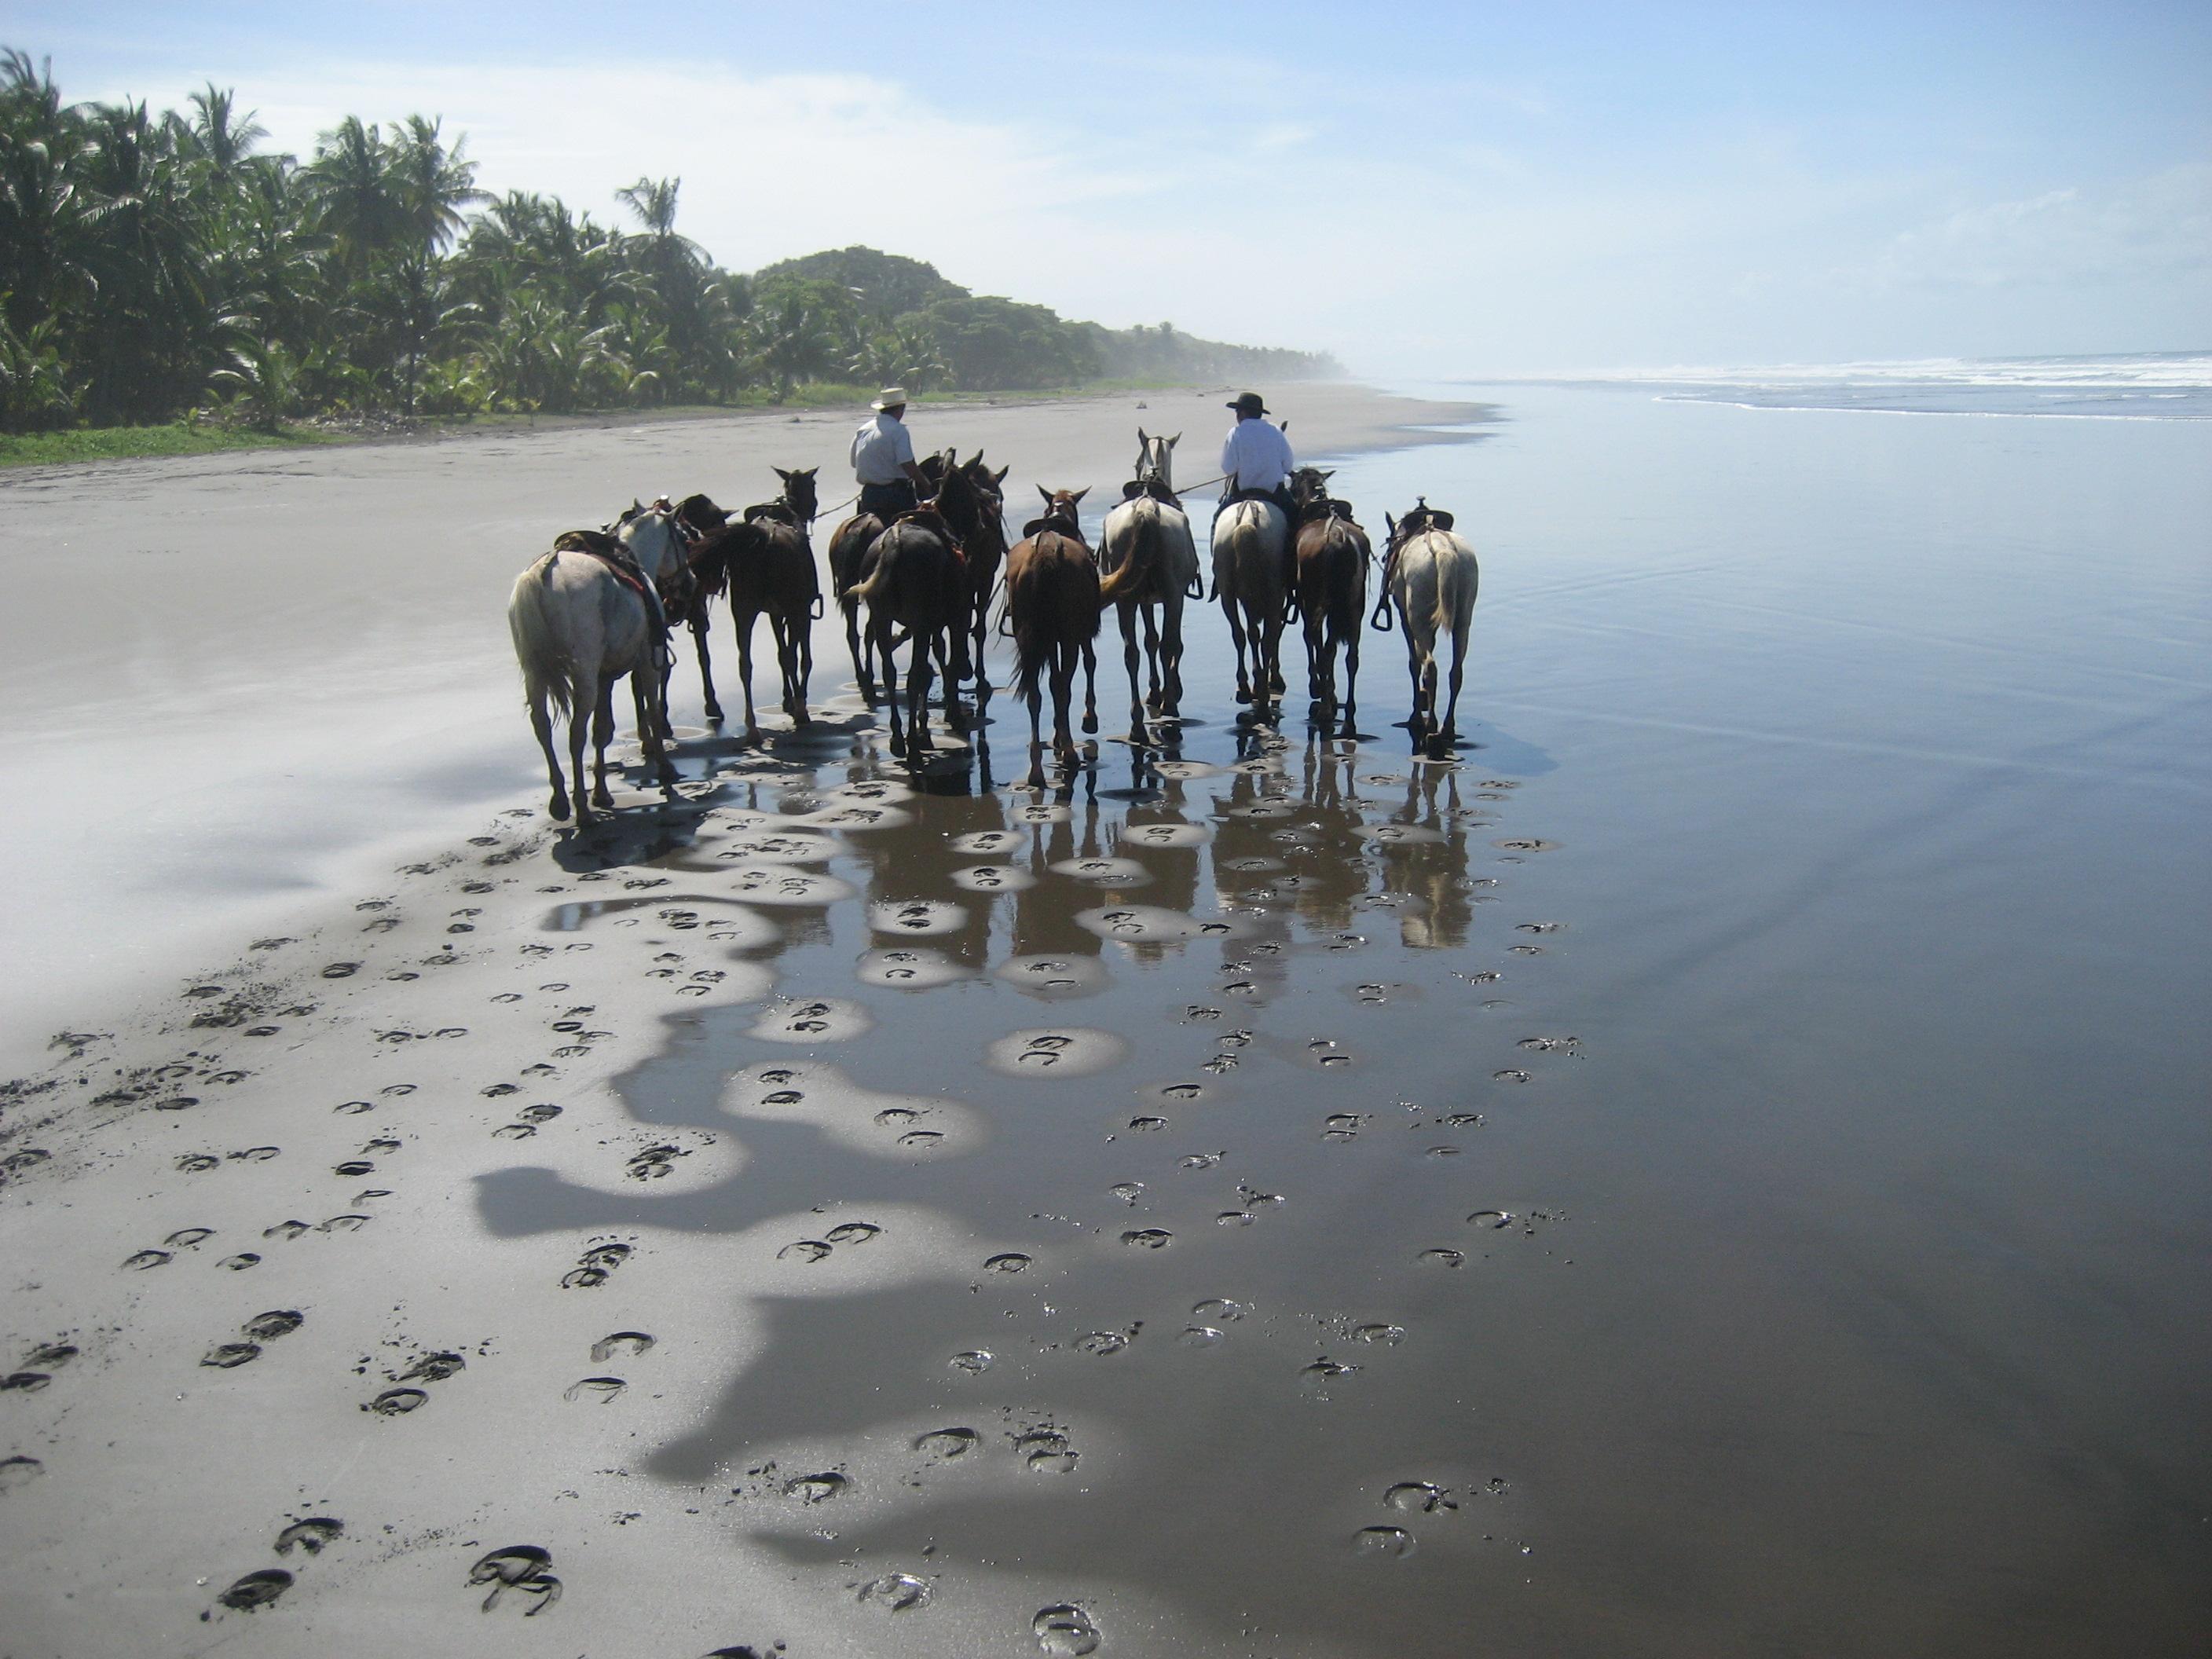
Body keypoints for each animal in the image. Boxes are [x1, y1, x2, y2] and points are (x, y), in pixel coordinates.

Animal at [511, 541, 676, 827]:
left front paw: (602, 793)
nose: (690, 579)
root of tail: (544, 573)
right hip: (585, 675)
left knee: (542, 726)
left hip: (536, 674)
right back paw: (582, 809)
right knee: (577, 734)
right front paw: (665, 767)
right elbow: (653, 712)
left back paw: (560, 801)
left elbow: (602, 730)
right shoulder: (647, 662)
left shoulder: (604, 678)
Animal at [1097, 429, 1203, 747]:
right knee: (1170, 645)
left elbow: (1150, 641)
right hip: (1172, 595)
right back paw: (1170, 704)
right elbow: (1168, 642)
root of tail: (1145, 509)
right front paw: (1168, 690)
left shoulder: (1142, 599)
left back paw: (1137, 726)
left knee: (1131, 653)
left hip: (1125, 600)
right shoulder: (1171, 597)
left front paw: (1155, 690)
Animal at [1291, 464, 1371, 730]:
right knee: (1350, 655)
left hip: (1317, 599)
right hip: (1354, 605)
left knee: (1322, 645)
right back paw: (1348, 712)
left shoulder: (1306, 601)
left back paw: (1325, 707)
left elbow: (1311, 639)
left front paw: (1318, 686)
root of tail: (1338, 539)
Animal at [1380, 504, 1486, 765]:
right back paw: (1447, 727)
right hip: (1463, 620)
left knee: (1429, 667)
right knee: (1456, 671)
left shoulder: (1405, 619)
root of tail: (1443, 551)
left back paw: (1428, 724)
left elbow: (1413, 663)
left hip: (1417, 617)